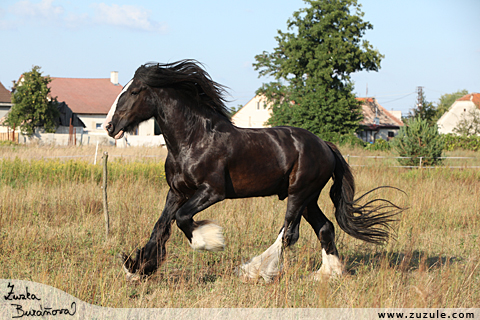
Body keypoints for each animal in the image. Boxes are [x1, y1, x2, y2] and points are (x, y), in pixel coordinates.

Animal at [103, 60, 404, 282]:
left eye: (134, 92)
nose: (108, 125)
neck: (194, 139)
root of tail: (325, 145)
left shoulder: (212, 191)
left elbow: (182, 218)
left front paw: (211, 241)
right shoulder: (176, 192)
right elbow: (160, 227)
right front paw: (137, 268)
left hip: (299, 192)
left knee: (289, 233)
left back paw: (253, 271)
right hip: (309, 198)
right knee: (325, 228)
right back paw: (328, 275)